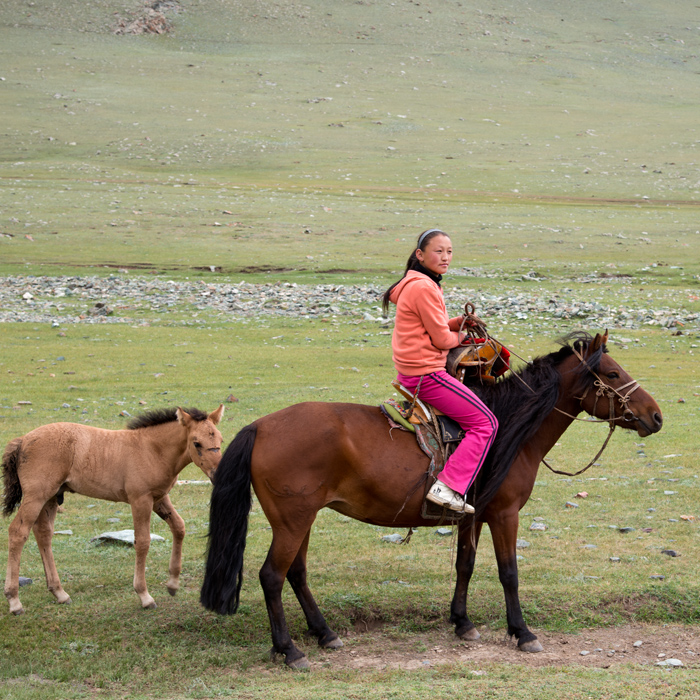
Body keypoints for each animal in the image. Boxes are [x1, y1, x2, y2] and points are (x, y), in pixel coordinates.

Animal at [1, 404, 223, 612]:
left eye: (220, 440)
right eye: (197, 443)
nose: (216, 475)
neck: (152, 449)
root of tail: (23, 440)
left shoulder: (159, 498)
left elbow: (179, 527)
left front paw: (173, 584)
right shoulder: (140, 500)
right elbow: (143, 542)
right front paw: (144, 596)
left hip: (51, 497)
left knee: (43, 533)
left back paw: (59, 593)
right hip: (36, 496)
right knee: (18, 531)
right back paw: (14, 600)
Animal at [201, 330, 660, 668]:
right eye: (613, 373)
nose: (655, 416)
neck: (509, 428)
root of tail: (260, 426)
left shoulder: (473, 515)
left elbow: (465, 566)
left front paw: (462, 623)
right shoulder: (505, 514)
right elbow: (509, 572)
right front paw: (523, 632)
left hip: (301, 519)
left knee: (295, 573)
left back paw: (324, 634)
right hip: (293, 520)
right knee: (272, 576)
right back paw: (289, 650)